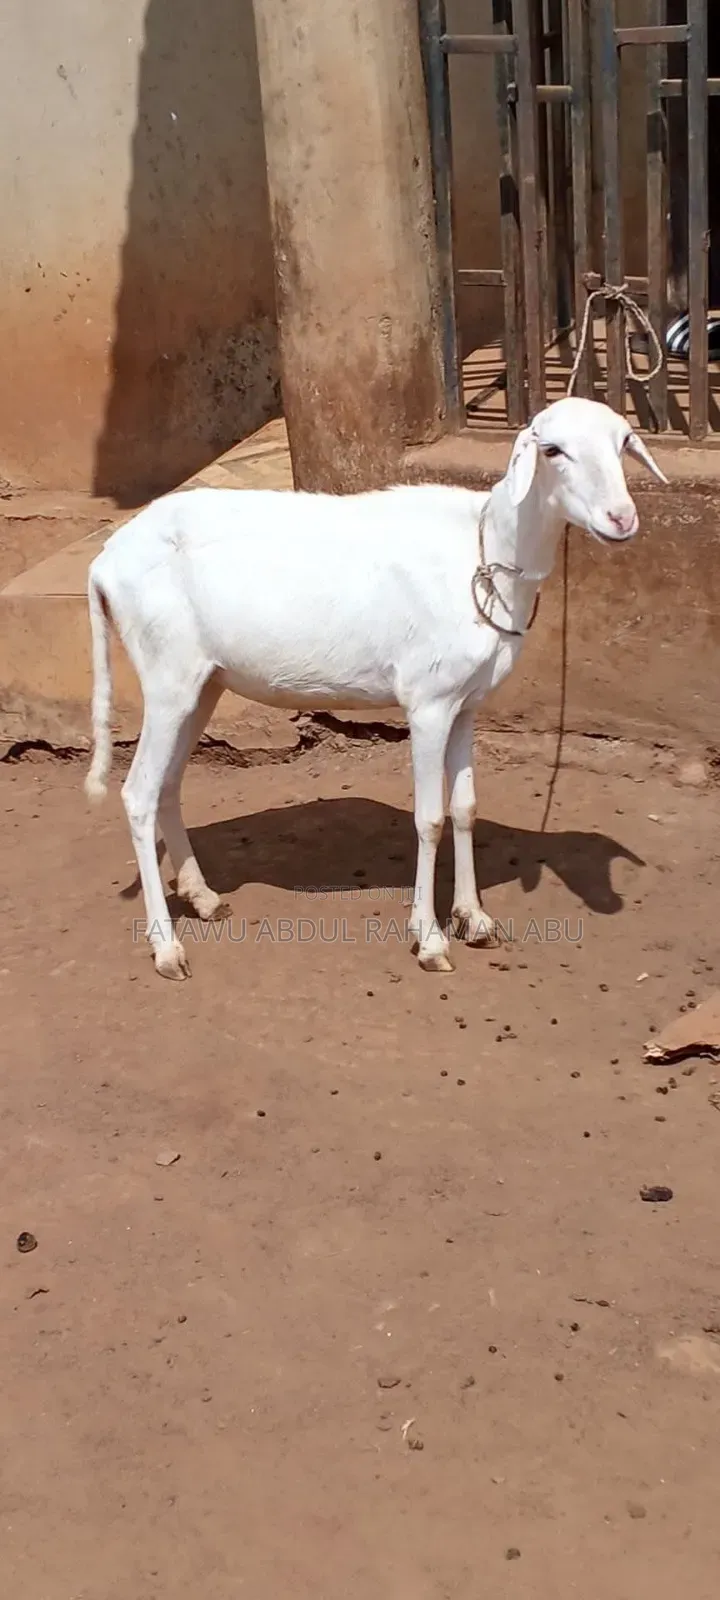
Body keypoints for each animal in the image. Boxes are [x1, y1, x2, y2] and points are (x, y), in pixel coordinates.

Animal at [84, 396, 667, 980]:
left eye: (623, 442)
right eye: (552, 450)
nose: (622, 519)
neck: (483, 552)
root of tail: (104, 560)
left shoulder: (466, 705)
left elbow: (466, 808)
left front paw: (474, 919)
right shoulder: (428, 703)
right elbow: (429, 818)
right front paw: (429, 939)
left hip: (202, 683)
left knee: (169, 784)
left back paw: (204, 899)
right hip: (166, 677)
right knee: (138, 794)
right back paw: (166, 948)